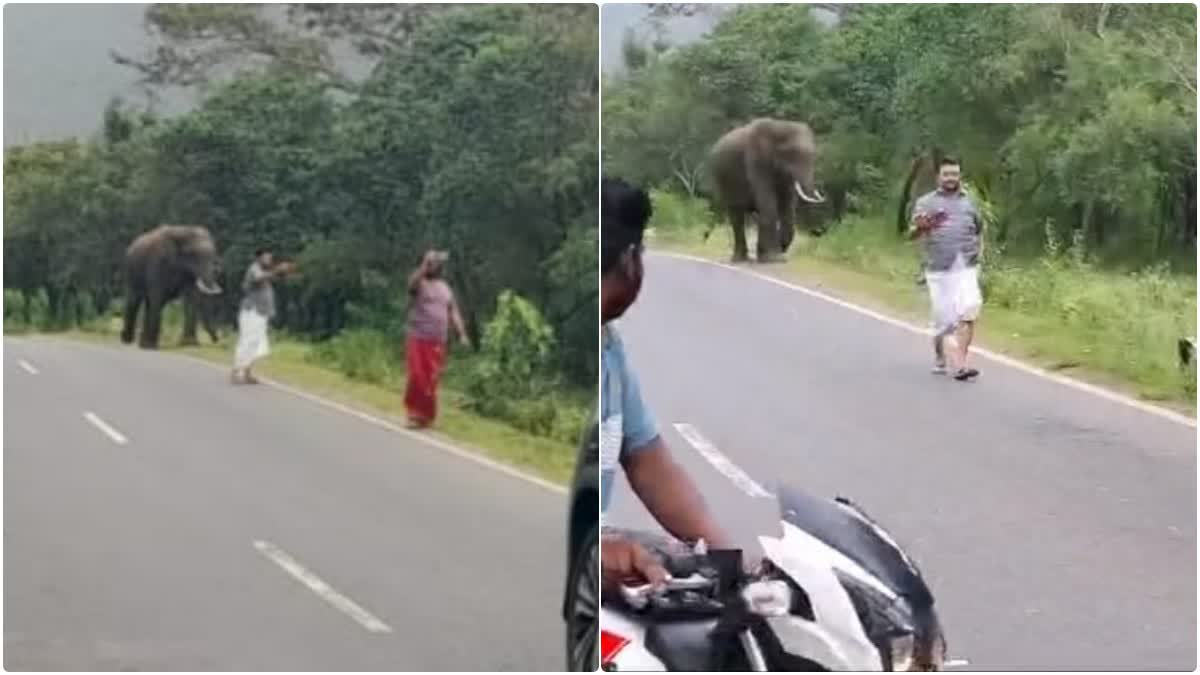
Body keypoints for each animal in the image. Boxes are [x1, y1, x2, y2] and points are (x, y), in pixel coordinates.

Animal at [700, 117, 825, 261]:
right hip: (722, 179)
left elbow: (787, 206)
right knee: (737, 215)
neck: (780, 127)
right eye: (792, 154)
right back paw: (740, 258)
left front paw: (778, 256)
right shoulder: (757, 160)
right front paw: (773, 258)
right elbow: (768, 204)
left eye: (814, 156)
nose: (783, 249)